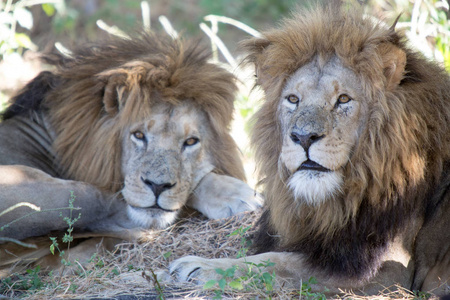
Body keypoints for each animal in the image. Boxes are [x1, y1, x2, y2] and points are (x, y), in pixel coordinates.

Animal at [168, 4, 450, 296]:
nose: (303, 137)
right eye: (293, 99)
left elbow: (274, 262)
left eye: (343, 99)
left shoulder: (385, 270)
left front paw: (199, 266)